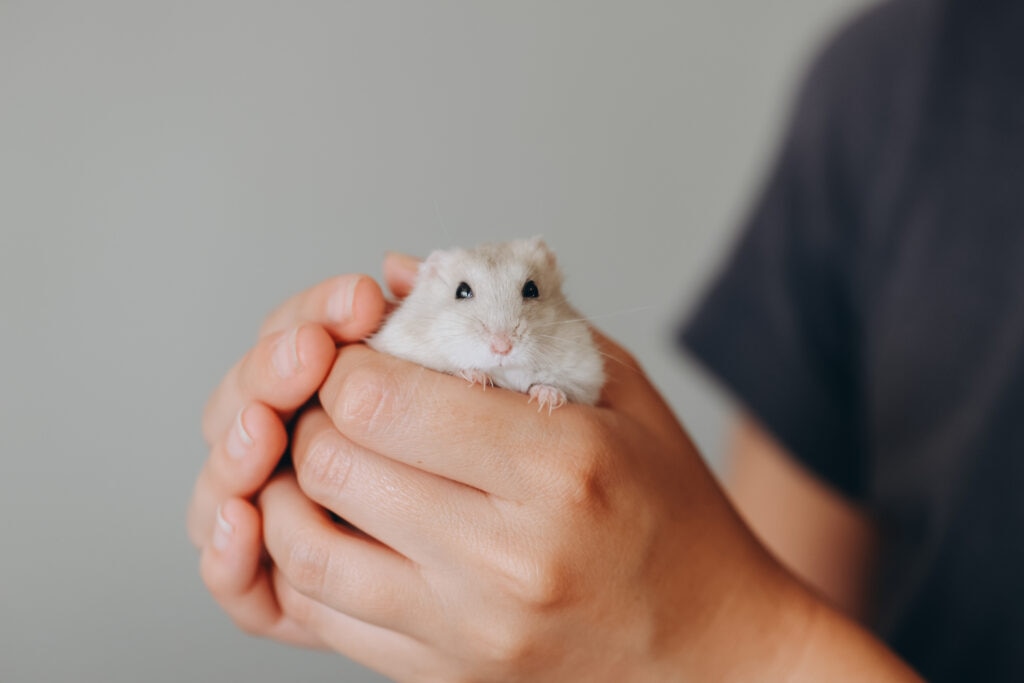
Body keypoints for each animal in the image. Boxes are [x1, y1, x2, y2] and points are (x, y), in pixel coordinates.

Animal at [367, 238, 604, 411]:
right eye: (461, 291)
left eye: (532, 289)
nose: (502, 347)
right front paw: (477, 377)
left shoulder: (585, 377)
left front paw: (549, 397)